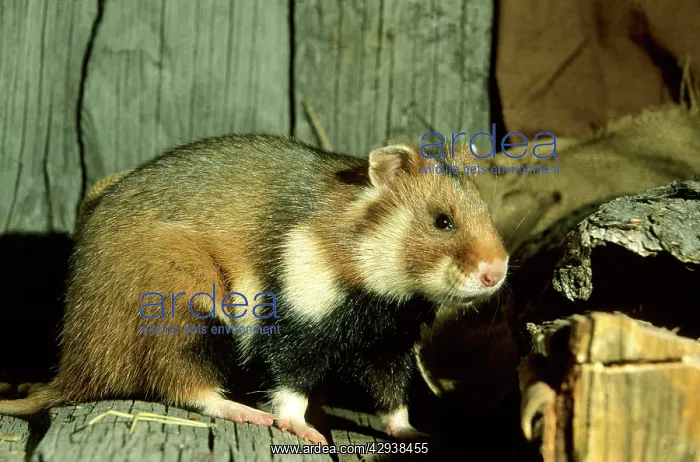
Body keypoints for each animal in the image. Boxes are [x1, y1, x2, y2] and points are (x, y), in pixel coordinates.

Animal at [0, 134, 509, 444]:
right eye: (443, 221)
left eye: (486, 212)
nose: (497, 272)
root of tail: (76, 367)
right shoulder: (298, 315)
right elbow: (290, 386)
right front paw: (304, 430)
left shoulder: (389, 343)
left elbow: (394, 398)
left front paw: (416, 434)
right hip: (187, 306)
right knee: (184, 385)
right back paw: (246, 412)